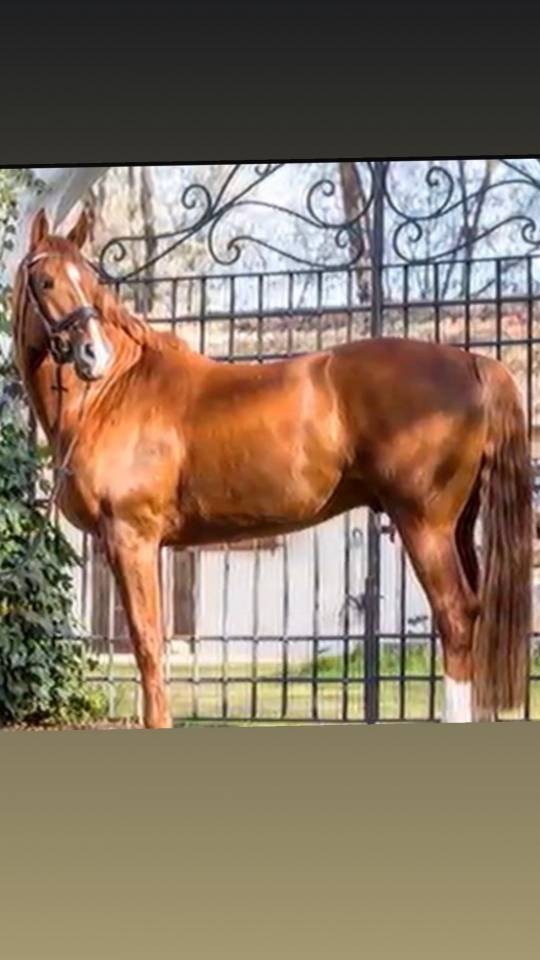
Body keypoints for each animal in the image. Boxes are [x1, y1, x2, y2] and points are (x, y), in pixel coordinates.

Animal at [11, 208, 533, 728]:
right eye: (46, 280)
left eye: (89, 281)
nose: (91, 354)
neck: (112, 393)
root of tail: (472, 362)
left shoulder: (131, 536)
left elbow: (147, 644)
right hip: (459, 526)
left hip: (425, 525)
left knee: (456, 617)